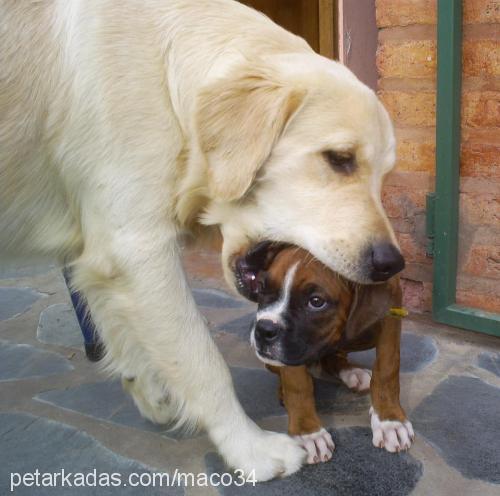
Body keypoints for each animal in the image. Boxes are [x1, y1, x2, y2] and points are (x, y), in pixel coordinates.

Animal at [234, 243, 414, 464]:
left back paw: (352, 373)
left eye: (316, 301)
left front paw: (389, 420)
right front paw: (308, 432)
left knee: (335, 356)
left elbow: (388, 367)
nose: (264, 329)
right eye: (261, 288)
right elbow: (297, 384)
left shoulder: (391, 309)